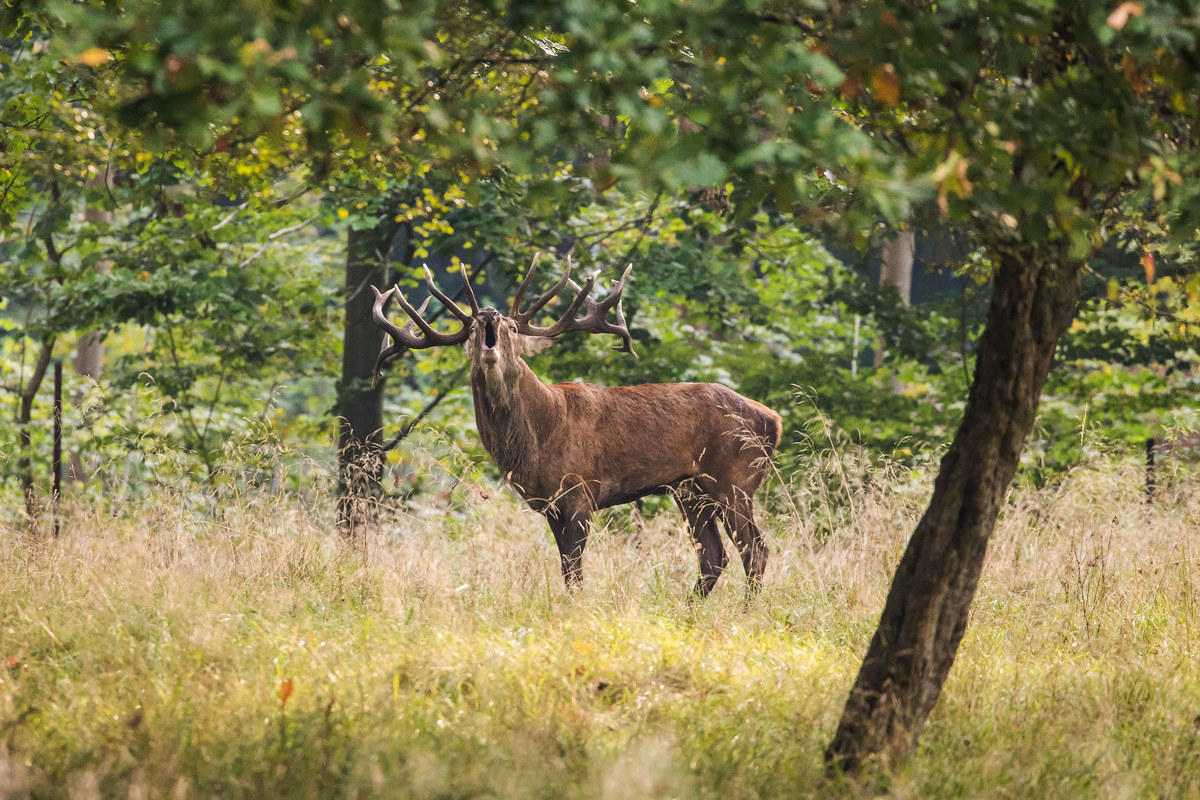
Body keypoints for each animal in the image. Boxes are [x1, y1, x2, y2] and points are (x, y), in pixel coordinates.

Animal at [371, 255, 782, 598]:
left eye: (510, 327)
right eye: (471, 328)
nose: (487, 314)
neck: (539, 439)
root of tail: (774, 421)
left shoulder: (581, 490)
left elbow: (574, 569)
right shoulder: (550, 505)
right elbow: (566, 570)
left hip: (735, 477)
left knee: (755, 549)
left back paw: (746, 611)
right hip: (691, 490)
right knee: (714, 555)